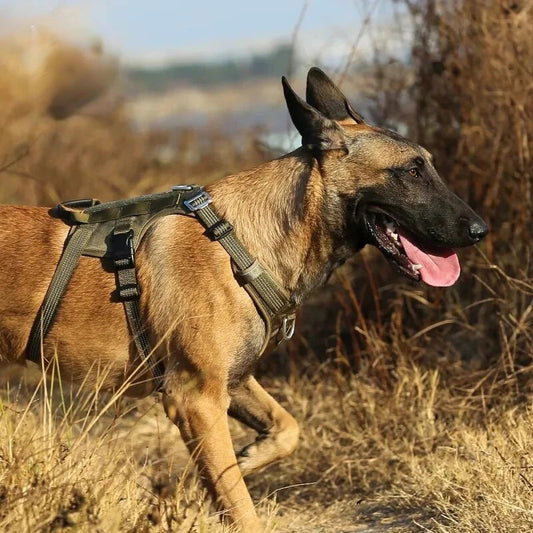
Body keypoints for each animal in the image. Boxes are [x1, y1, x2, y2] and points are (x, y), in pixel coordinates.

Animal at [0, 68, 486, 528]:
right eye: (411, 171)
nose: (480, 230)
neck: (242, 241)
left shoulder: (231, 381)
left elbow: (285, 429)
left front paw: (248, 459)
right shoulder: (196, 398)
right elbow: (241, 507)